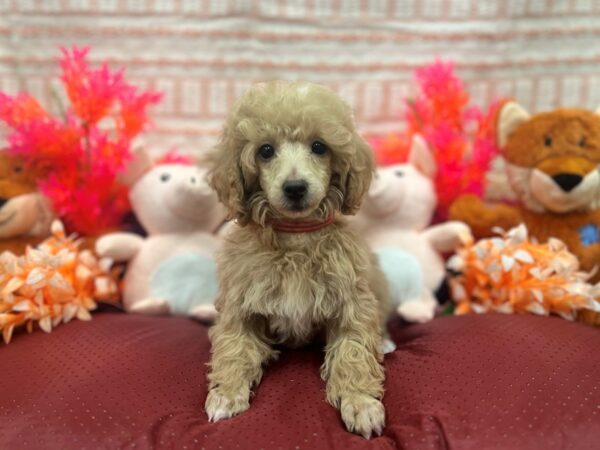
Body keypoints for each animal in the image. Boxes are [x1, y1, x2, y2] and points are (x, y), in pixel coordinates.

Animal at [204, 79, 392, 438]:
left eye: (319, 146)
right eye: (265, 151)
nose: (295, 188)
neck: (296, 235)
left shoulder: (352, 299)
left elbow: (354, 350)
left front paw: (360, 402)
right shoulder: (241, 301)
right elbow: (235, 344)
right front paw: (226, 394)